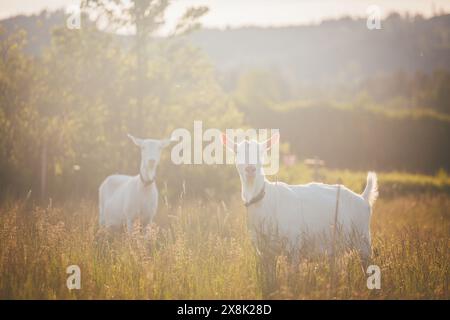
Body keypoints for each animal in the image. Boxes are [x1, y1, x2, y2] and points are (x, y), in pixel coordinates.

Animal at [223, 132, 378, 260]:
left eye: (261, 151)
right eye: (236, 151)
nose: (250, 169)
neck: (266, 200)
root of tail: (363, 197)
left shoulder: (293, 246)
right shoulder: (264, 252)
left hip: (363, 239)